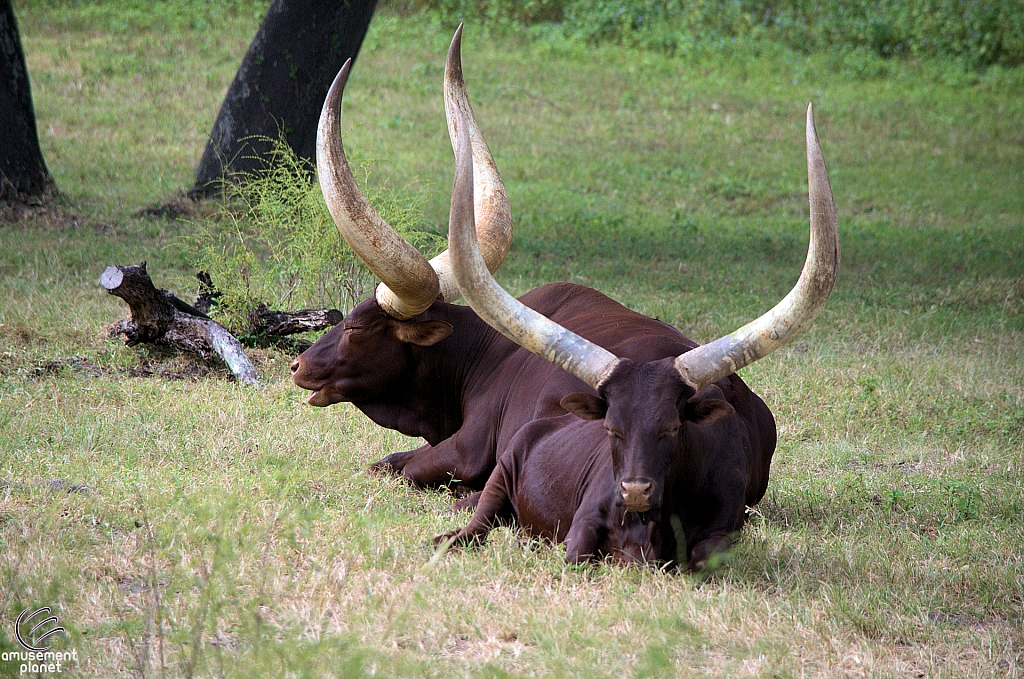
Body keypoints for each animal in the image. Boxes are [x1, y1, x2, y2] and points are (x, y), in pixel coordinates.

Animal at [436, 90, 835, 569]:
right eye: (612, 429)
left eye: (672, 429)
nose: (634, 490)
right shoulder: (582, 523)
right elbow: (575, 555)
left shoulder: (725, 529)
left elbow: (704, 557)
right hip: (503, 475)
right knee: (477, 523)